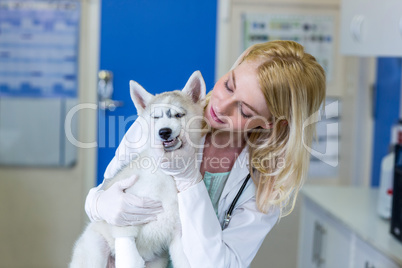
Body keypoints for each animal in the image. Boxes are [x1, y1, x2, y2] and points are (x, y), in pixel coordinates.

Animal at [69, 71, 206, 268]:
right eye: (155, 117)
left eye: (179, 115)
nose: (164, 132)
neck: (164, 176)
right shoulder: (125, 227)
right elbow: (130, 258)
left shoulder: (178, 235)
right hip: (95, 249)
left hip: (156, 261)